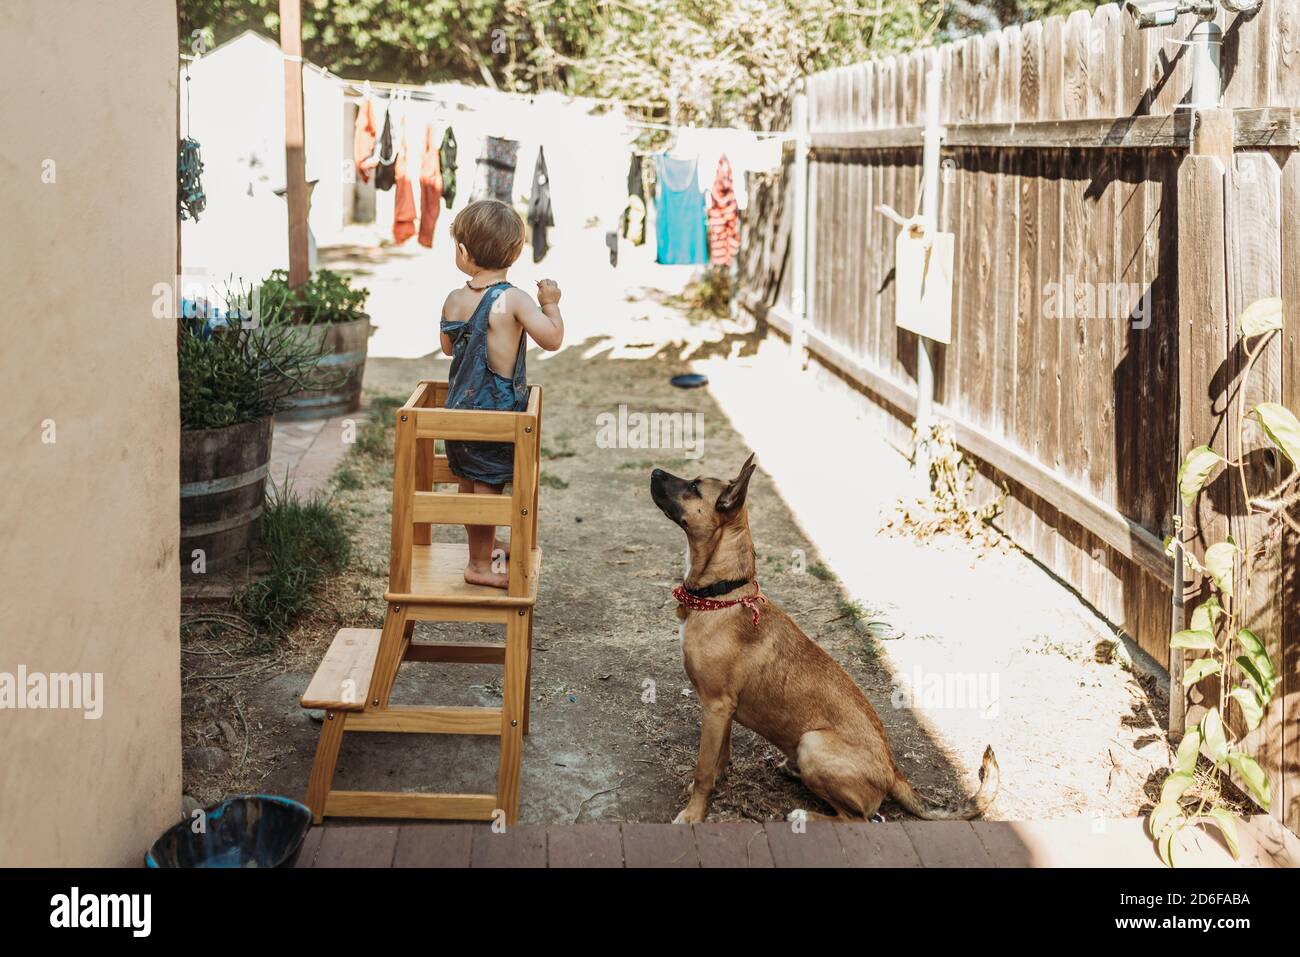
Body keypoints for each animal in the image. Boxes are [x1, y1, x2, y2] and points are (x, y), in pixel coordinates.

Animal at [647, 455, 993, 821]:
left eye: (694, 487)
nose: (654, 471)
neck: (722, 594)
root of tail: (893, 772)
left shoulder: (714, 705)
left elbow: (702, 769)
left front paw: (694, 812)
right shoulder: (723, 709)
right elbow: (720, 756)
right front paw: (719, 778)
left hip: (812, 743)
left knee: (857, 819)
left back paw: (803, 815)